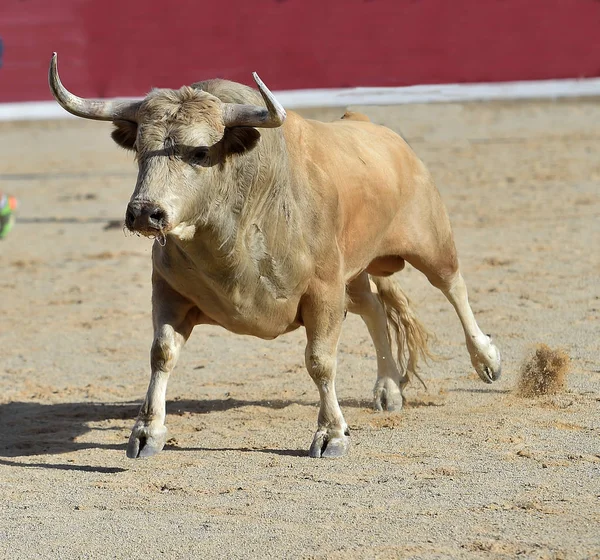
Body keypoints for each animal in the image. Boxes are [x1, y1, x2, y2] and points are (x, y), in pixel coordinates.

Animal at [48, 53, 502, 460]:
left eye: (199, 152)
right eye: (141, 149)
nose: (145, 212)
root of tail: (370, 126)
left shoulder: (323, 292)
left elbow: (320, 361)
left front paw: (332, 434)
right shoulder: (169, 291)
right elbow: (162, 352)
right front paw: (147, 432)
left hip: (429, 241)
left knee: (453, 285)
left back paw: (486, 360)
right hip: (353, 274)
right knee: (374, 307)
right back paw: (388, 389)